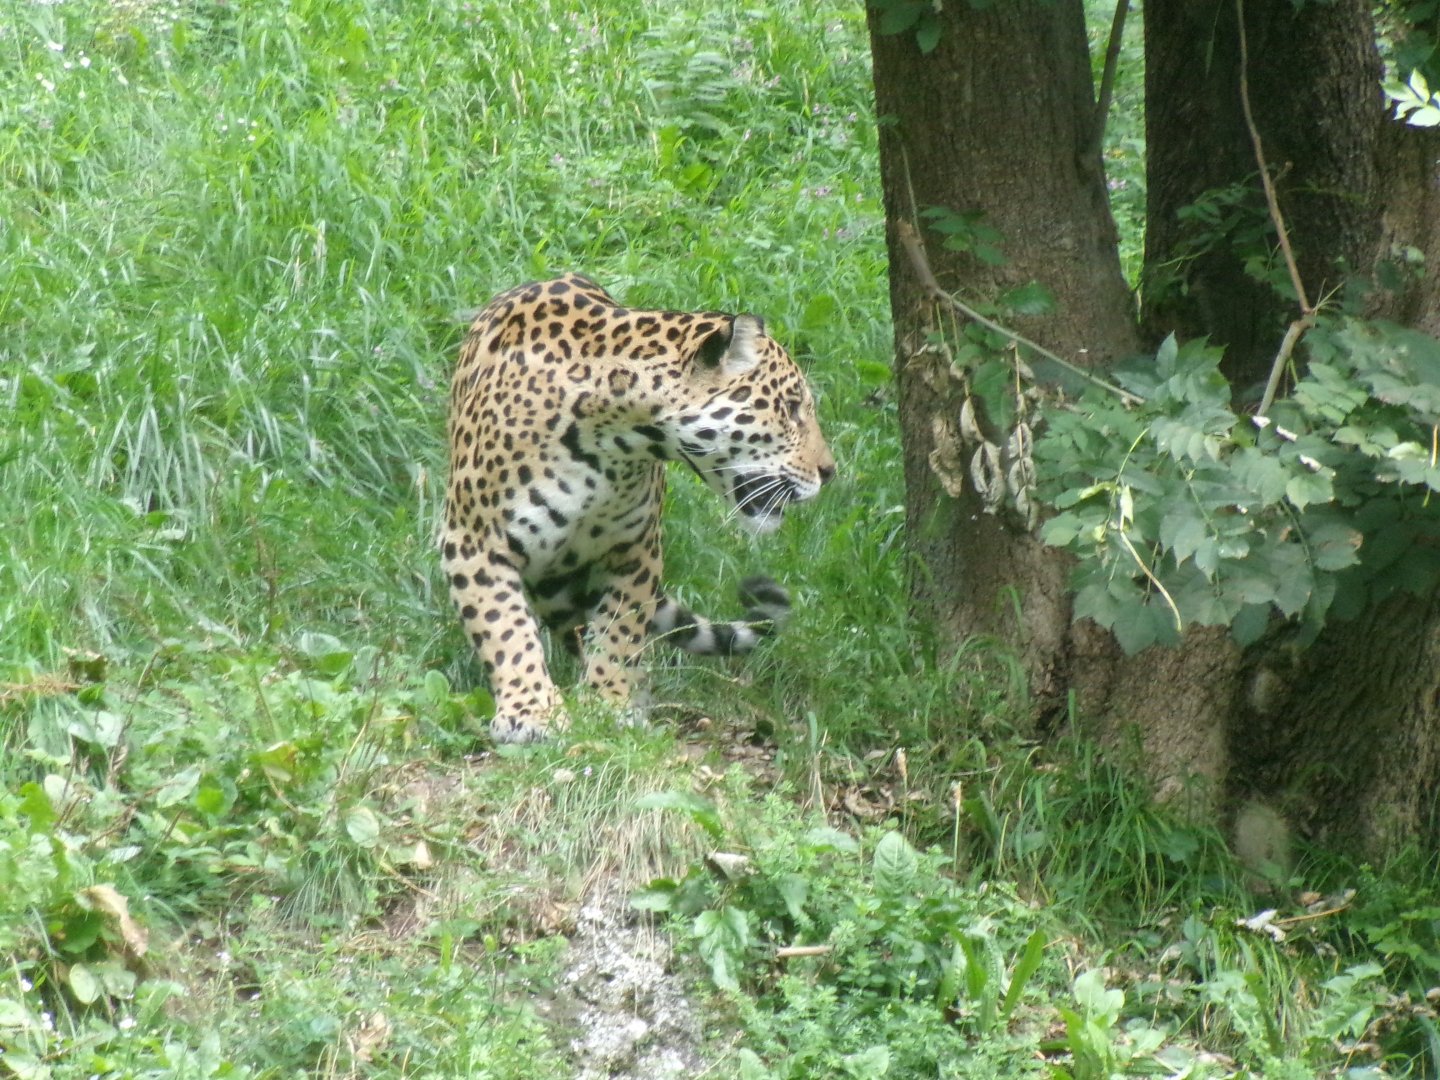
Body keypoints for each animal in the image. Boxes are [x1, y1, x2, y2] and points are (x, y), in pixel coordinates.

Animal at [441, 273, 835, 744]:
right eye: (791, 408)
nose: (830, 471)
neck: (613, 443)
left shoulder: (634, 549)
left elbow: (620, 630)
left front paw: (610, 703)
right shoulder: (474, 541)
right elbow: (505, 629)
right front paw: (531, 712)